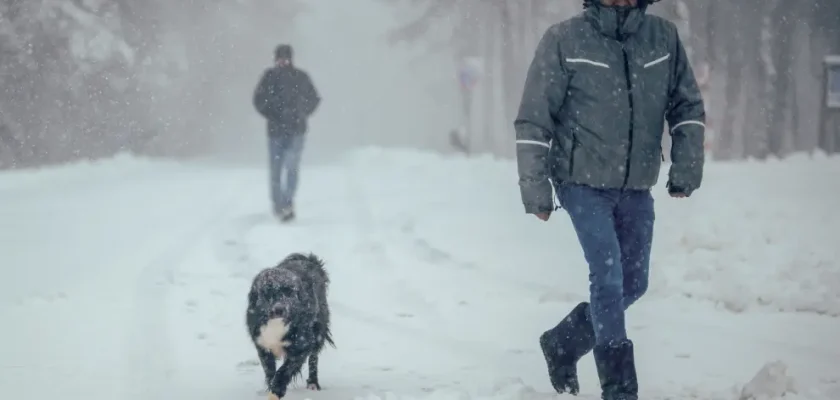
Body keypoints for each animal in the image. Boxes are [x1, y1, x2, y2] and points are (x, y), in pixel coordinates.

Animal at [244, 253, 334, 400]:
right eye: (267, 292)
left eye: (289, 292)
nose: (279, 309)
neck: (276, 323)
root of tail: (308, 260)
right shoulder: (262, 345)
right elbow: (269, 369)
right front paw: (272, 385)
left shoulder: (302, 345)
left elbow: (284, 370)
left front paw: (277, 389)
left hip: (318, 330)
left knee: (314, 358)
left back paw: (313, 383)